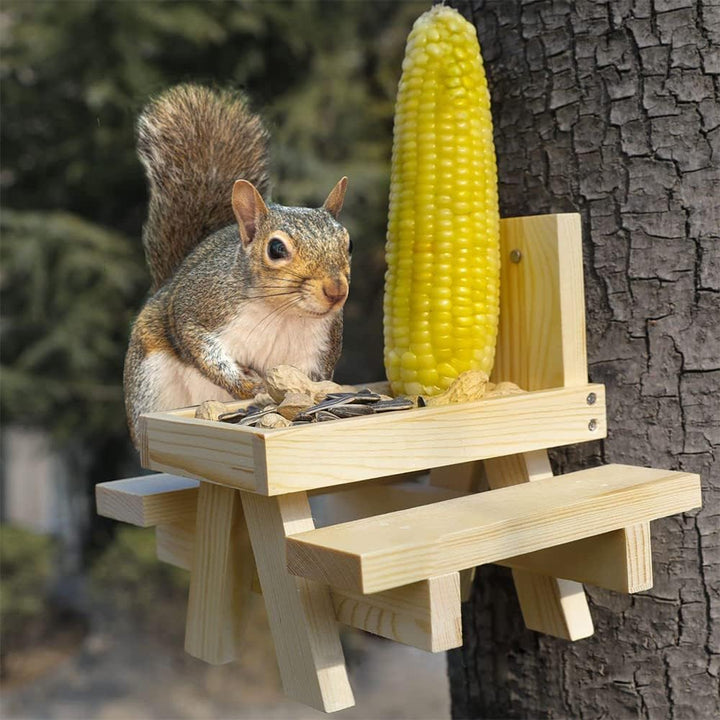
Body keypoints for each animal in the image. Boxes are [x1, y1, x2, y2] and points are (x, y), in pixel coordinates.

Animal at [123, 84, 351, 447]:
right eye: (276, 248)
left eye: (348, 244)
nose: (336, 291)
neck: (281, 312)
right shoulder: (198, 305)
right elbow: (199, 345)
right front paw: (247, 385)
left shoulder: (318, 351)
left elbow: (309, 382)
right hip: (150, 384)